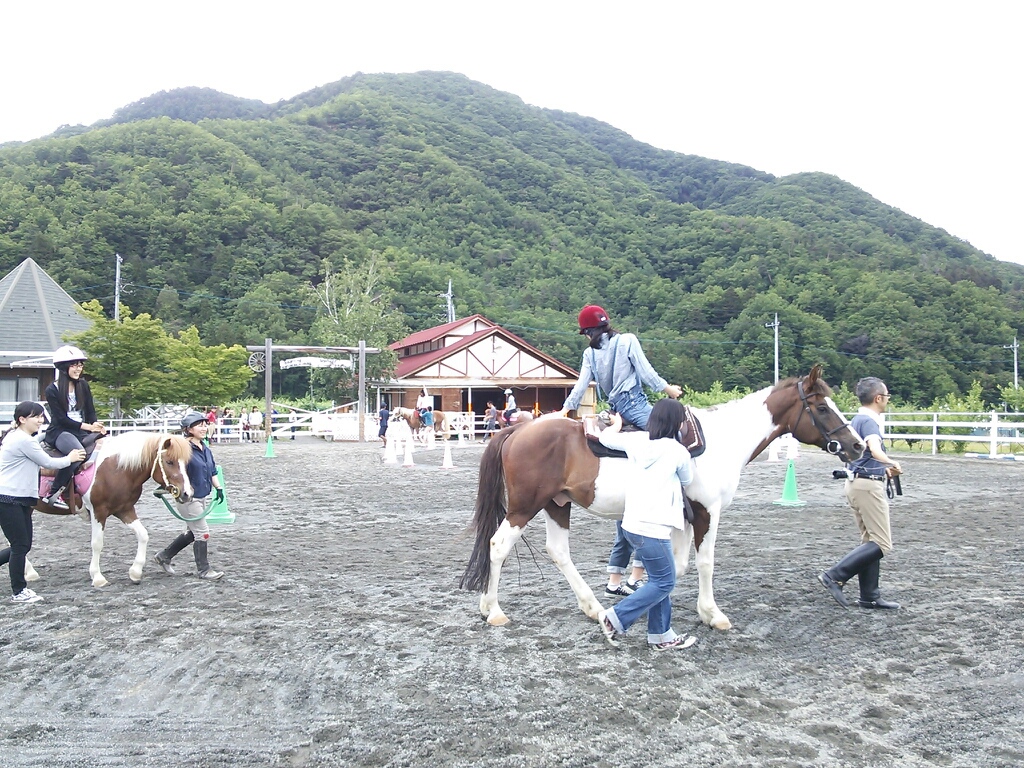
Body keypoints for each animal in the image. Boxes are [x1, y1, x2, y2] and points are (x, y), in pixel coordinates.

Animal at [29, 431, 194, 587]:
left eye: (186, 463)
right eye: (169, 462)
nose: (187, 493)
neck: (117, 468)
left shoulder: (125, 510)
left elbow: (143, 535)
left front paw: (135, 572)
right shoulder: (98, 512)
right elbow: (97, 543)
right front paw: (97, 577)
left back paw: (30, 573)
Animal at [460, 365, 865, 631]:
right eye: (822, 407)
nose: (857, 445)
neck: (721, 440)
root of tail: (517, 430)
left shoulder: (682, 517)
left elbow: (677, 565)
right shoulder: (706, 512)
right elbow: (704, 563)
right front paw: (712, 613)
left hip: (557, 505)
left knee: (558, 552)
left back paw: (592, 607)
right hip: (525, 507)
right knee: (498, 545)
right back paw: (492, 610)